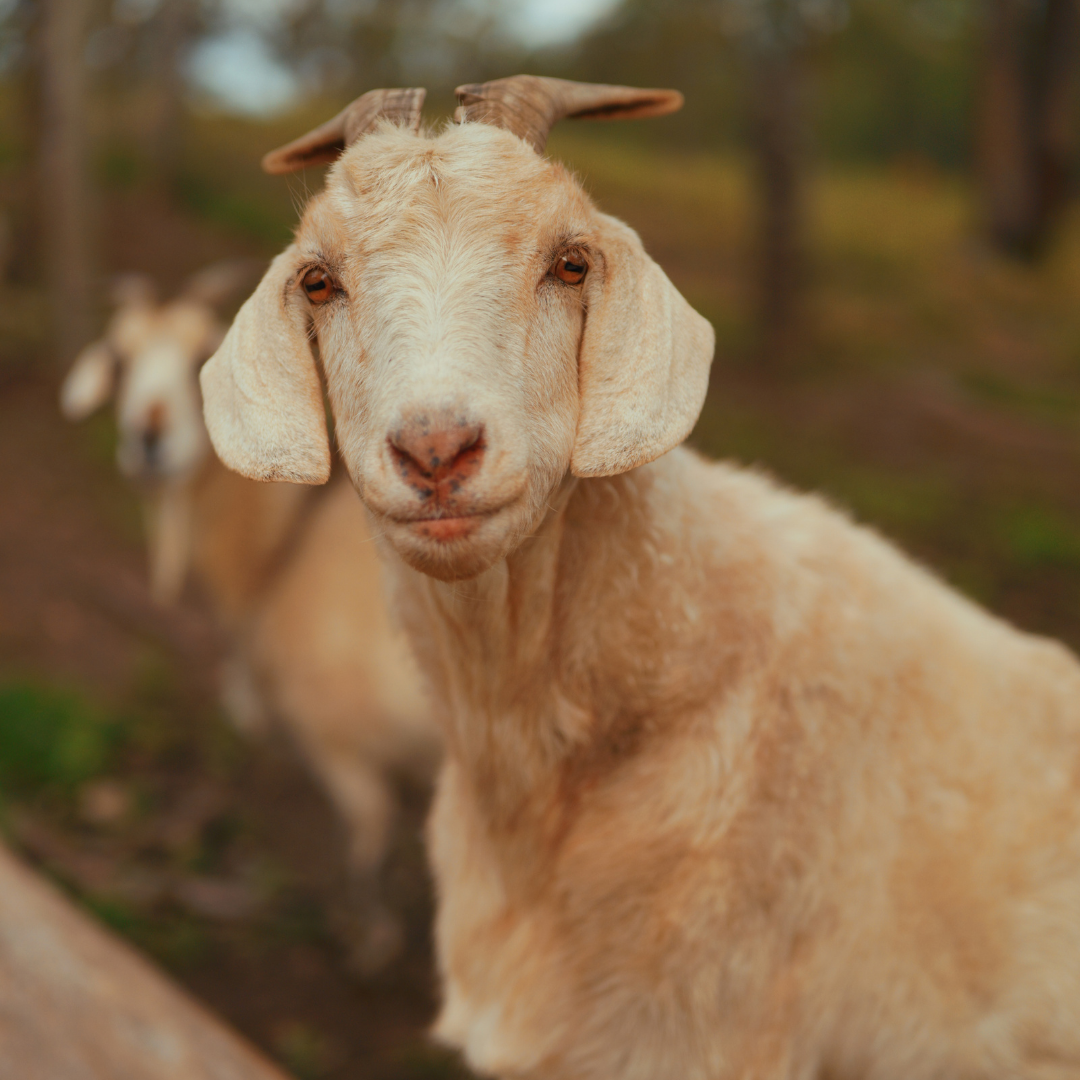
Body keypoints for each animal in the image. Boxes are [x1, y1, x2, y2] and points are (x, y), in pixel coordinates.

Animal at [61, 267, 440, 972]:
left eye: (202, 355)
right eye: (120, 358)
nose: (147, 440)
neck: (279, 545)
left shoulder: (337, 740)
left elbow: (368, 840)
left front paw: (369, 936)